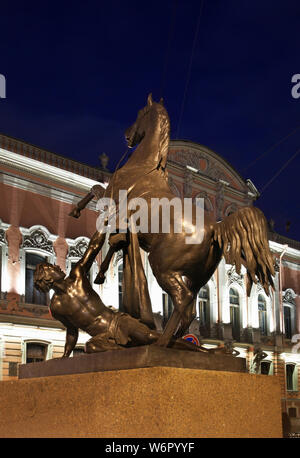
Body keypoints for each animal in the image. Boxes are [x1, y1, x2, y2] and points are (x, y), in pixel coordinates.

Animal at [69, 94, 274, 348]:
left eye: (141, 113)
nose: (127, 135)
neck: (146, 165)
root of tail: (216, 226)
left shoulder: (111, 200)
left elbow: (95, 196)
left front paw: (77, 213)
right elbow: (110, 233)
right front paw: (102, 267)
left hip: (162, 266)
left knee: (183, 300)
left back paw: (162, 341)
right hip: (196, 278)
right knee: (190, 308)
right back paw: (177, 341)